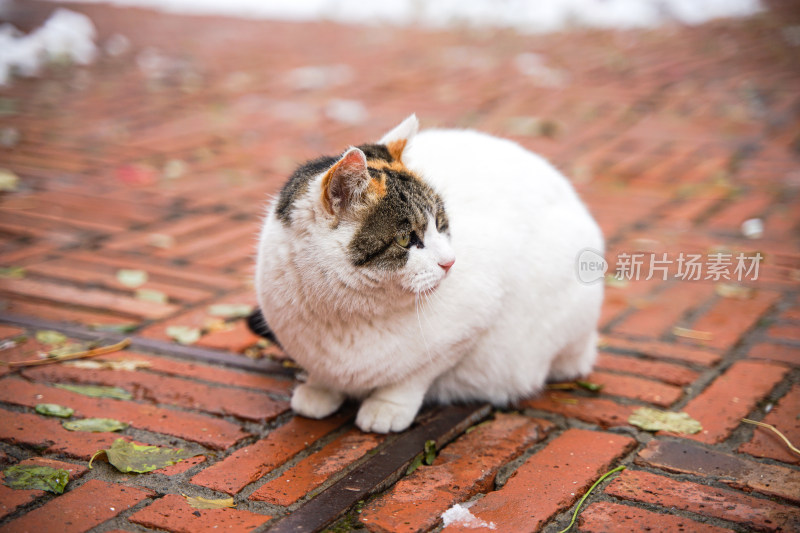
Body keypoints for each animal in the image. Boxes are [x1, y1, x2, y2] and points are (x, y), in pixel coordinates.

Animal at [253, 113, 604, 432]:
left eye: (442, 224)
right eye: (405, 239)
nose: (450, 262)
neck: (343, 313)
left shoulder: (467, 327)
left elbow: (413, 375)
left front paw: (386, 406)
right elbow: (324, 375)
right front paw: (318, 388)